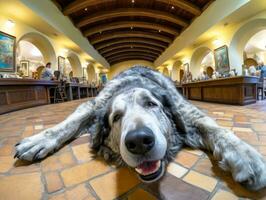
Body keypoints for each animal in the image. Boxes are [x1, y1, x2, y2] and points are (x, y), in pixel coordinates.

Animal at [14, 66, 266, 191]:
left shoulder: (187, 112)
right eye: (116, 117)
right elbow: (68, 124)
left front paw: (247, 157)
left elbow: (218, 130)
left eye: (151, 104)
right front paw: (38, 140)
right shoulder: (92, 106)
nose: (139, 141)